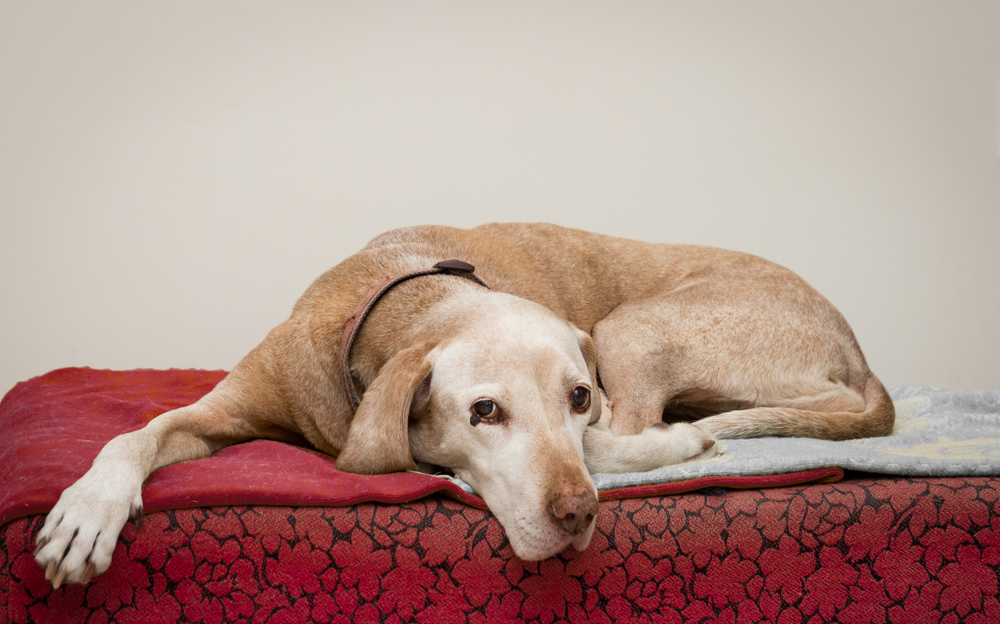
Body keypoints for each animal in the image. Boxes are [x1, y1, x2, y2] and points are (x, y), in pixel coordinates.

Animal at [31, 224, 896, 584]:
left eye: (574, 395)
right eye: (484, 412)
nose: (576, 516)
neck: (398, 303)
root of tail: (856, 347)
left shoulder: (594, 405)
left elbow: (600, 443)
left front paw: (675, 449)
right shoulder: (215, 413)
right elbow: (135, 436)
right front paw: (86, 512)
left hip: (630, 329)